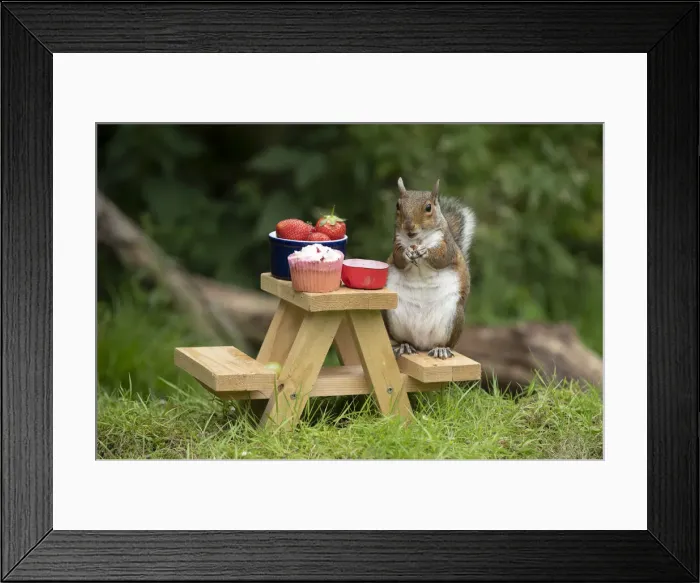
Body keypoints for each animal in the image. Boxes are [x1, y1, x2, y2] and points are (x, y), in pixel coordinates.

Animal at [383, 177, 476, 359]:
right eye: (398, 205)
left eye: (428, 207)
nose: (409, 226)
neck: (417, 240)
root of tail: (422, 343)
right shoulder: (396, 243)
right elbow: (398, 258)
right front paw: (407, 253)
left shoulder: (446, 245)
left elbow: (441, 258)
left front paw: (425, 251)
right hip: (392, 317)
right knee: (405, 340)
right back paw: (405, 346)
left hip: (453, 318)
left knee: (444, 343)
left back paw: (441, 349)